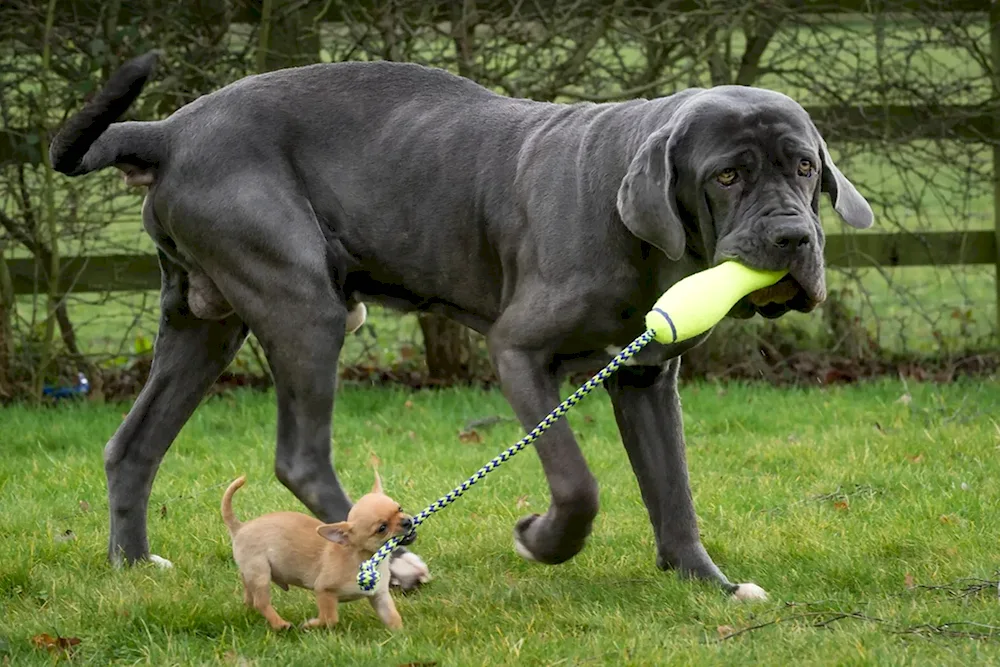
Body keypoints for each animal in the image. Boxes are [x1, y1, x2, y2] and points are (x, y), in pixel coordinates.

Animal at [50, 51, 872, 596]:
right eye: (727, 176)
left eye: (805, 167)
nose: (792, 239)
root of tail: (170, 131)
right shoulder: (519, 350)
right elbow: (578, 483)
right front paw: (541, 540)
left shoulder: (643, 376)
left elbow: (673, 489)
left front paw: (708, 583)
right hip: (301, 301)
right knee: (299, 456)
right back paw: (396, 562)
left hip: (204, 322)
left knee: (133, 445)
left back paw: (132, 563)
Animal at [223, 470, 414, 632]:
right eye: (382, 528)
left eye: (400, 509)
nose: (408, 521)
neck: (363, 558)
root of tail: (240, 527)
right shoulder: (324, 591)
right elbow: (330, 618)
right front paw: (311, 625)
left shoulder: (379, 597)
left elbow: (392, 617)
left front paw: (400, 635)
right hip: (260, 573)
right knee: (261, 603)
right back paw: (279, 624)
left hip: (251, 574)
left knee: (250, 597)